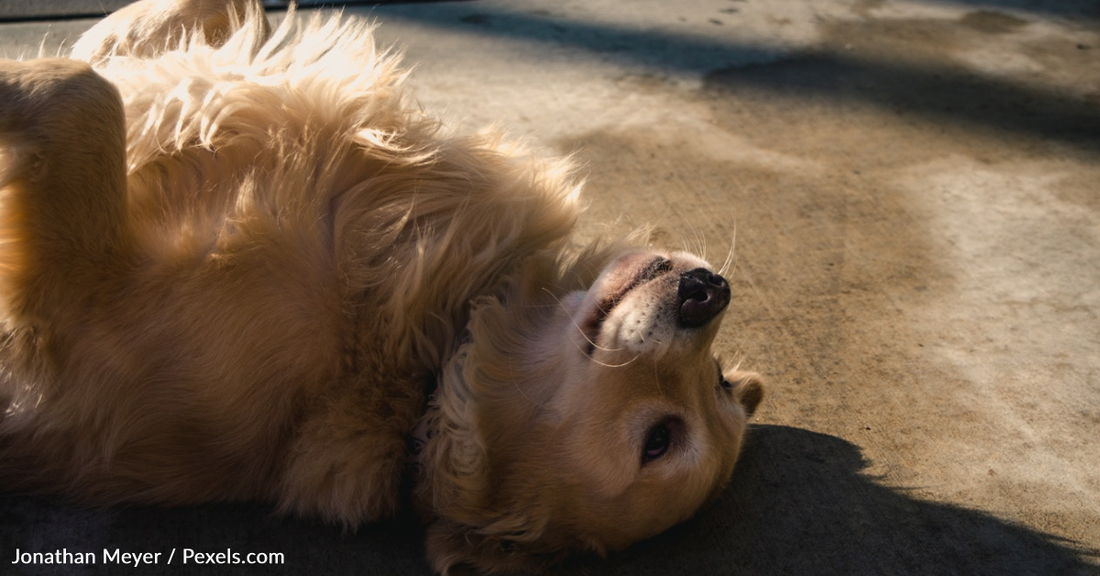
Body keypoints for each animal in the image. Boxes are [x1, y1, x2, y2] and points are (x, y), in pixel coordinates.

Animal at [0, 0, 765, 571]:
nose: (709, 290)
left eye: (659, 441)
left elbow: (84, 93)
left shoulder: (82, 304)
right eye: (722, 380)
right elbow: (158, 41)